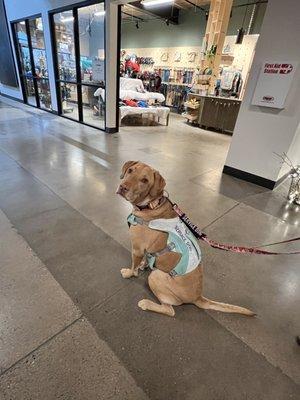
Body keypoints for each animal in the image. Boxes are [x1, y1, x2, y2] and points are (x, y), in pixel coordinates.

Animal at [116, 161, 254, 318]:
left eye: (144, 180)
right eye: (130, 170)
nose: (123, 187)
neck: (151, 205)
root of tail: (198, 297)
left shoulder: (137, 249)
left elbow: (133, 267)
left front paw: (129, 273)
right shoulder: (144, 250)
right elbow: (145, 258)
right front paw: (143, 265)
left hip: (156, 276)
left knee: (169, 310)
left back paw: (146, 303)